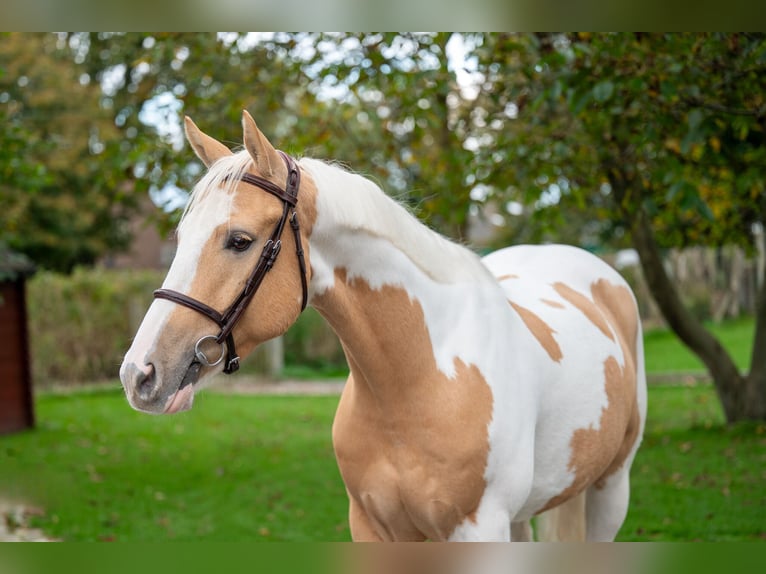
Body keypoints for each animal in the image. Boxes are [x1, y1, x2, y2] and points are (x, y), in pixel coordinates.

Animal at [120, 112, 648, 544]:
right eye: (180, 237)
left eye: (239, 240)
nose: (139, 374)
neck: (417, 380)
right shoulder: (374, 527)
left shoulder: (479, 529)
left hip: (611, 490)